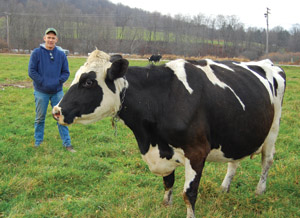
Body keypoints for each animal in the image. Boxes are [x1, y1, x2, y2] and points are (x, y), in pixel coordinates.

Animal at [52, 49, 286, 218]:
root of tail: (268, 63)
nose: (56, 111)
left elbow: (189, 194)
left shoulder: (197, 151)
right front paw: (165, 206)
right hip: (236, 133)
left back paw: (259, 191)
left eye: (88, 81)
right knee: (234, 162)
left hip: (273, 129)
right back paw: (224, 188)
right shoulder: (161, 150)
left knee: (267, 161)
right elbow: (168, 182)